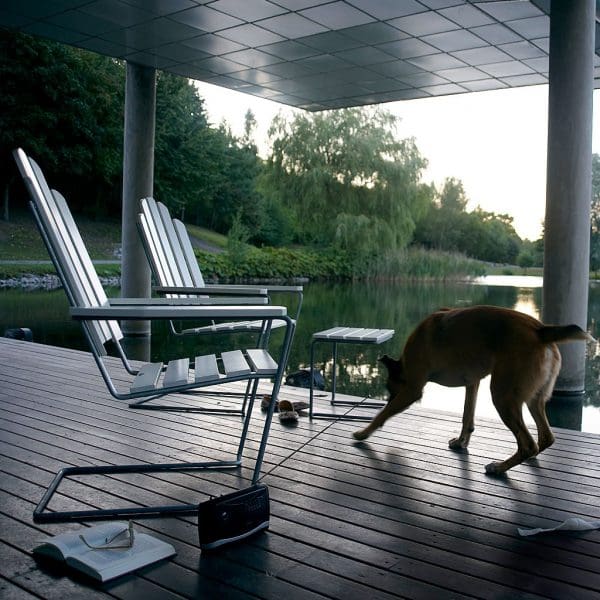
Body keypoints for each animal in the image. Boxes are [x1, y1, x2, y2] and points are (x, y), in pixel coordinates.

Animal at [354, 308, 592, 476]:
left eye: (389, 389)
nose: (389, 398)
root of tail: (540, 331)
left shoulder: (412, 390)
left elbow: (383, 414)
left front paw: (364, 433)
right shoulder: (473, 383)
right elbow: (467, 416)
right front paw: (461, 442)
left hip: (503, 397)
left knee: (528, 444)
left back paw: (499, 468)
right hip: (533, 399)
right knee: (545, 437)